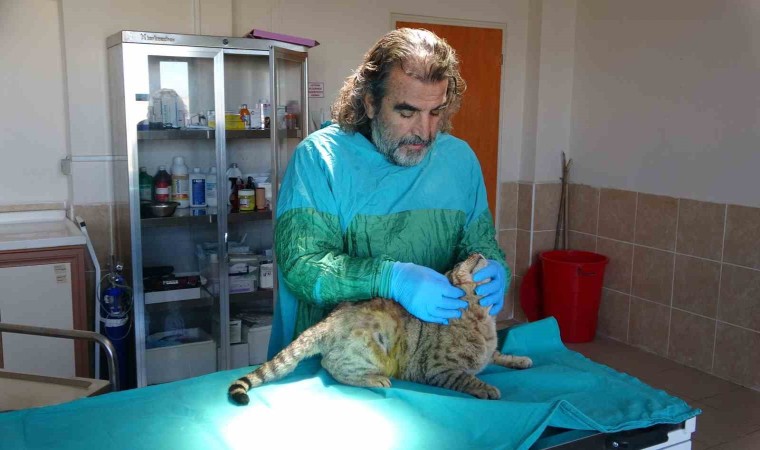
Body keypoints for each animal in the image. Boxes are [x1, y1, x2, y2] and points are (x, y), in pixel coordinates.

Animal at [228, 253, 532, 405]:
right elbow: (466, 379)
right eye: (461, 262)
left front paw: (518, 359)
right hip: (369, 347)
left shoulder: (490, 349)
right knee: (332, 366)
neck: (481, 317)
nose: (477, 251)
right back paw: (374, 379)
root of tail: (327, 321)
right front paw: (486, 388)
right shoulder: (440, 369)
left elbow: (498, 354)